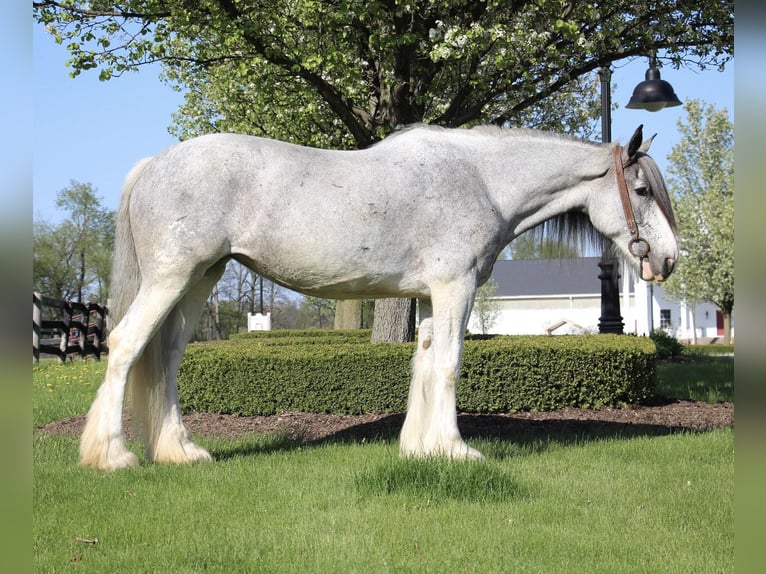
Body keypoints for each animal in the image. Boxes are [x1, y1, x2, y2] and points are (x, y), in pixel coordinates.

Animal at [79, 124, 680, 470]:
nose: (670, 259)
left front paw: (421, 447)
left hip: (200, 278)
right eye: (642, 189)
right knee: (126, 345)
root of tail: (153, 165)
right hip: (172, 277)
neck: (481, 180)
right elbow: (449, 365)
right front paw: (457, 450)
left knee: (165, 358)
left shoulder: (433, 297)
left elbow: (425, 363)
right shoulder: (456, 287)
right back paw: (112, 456)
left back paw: (180, 452)